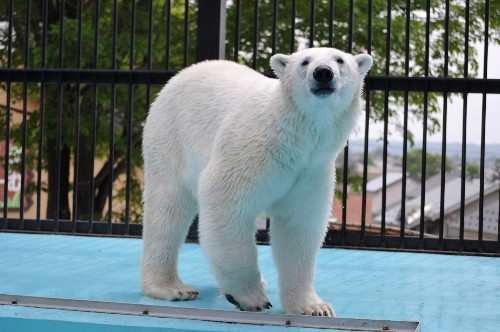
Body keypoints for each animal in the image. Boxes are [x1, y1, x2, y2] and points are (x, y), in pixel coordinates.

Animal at [141, 47, 372, 316]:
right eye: (305, 62)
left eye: (339, 60)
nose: (323, 73)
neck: (292, 140)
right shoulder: (250, 150)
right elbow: (225, 202)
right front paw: (250, 297)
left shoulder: (311, 171)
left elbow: (299, 228)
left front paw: (314, 306)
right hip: (171, 140)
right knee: (167, 212)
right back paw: (172, 288)